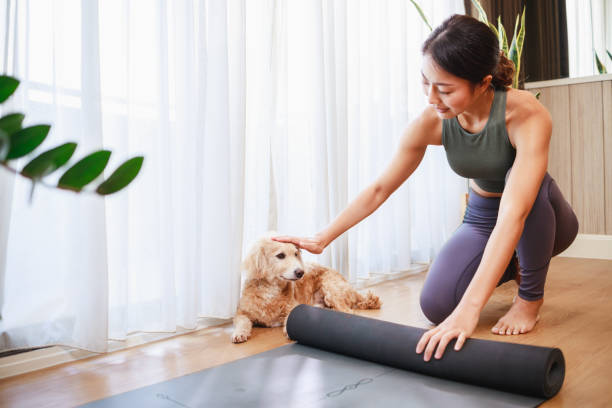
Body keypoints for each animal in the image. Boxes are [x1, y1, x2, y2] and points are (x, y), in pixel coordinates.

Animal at [232, 234, 380, 342]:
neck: (271, 289)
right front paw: (239, 333)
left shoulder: (293, 307)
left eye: (296, 254)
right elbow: (242, 322)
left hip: (330, 287)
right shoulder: (242, 312)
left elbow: (289, 318)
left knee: (348, 311)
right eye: (280, 255)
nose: (300, 272)